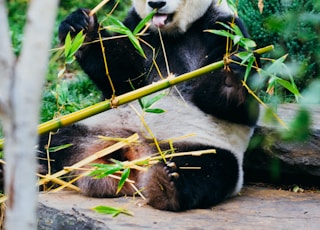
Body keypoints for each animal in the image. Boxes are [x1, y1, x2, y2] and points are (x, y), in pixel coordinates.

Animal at [39, 0, 260, 211]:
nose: (156, 4)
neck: (171, 34)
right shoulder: (137, 29)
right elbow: (122, 79)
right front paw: (81, 28)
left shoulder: (224, 28)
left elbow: (234, 107)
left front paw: (234, 73)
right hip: (95, 130)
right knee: (52, 141)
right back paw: (40, 169)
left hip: (201, 147)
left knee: (208, 169)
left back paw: (168, 184)